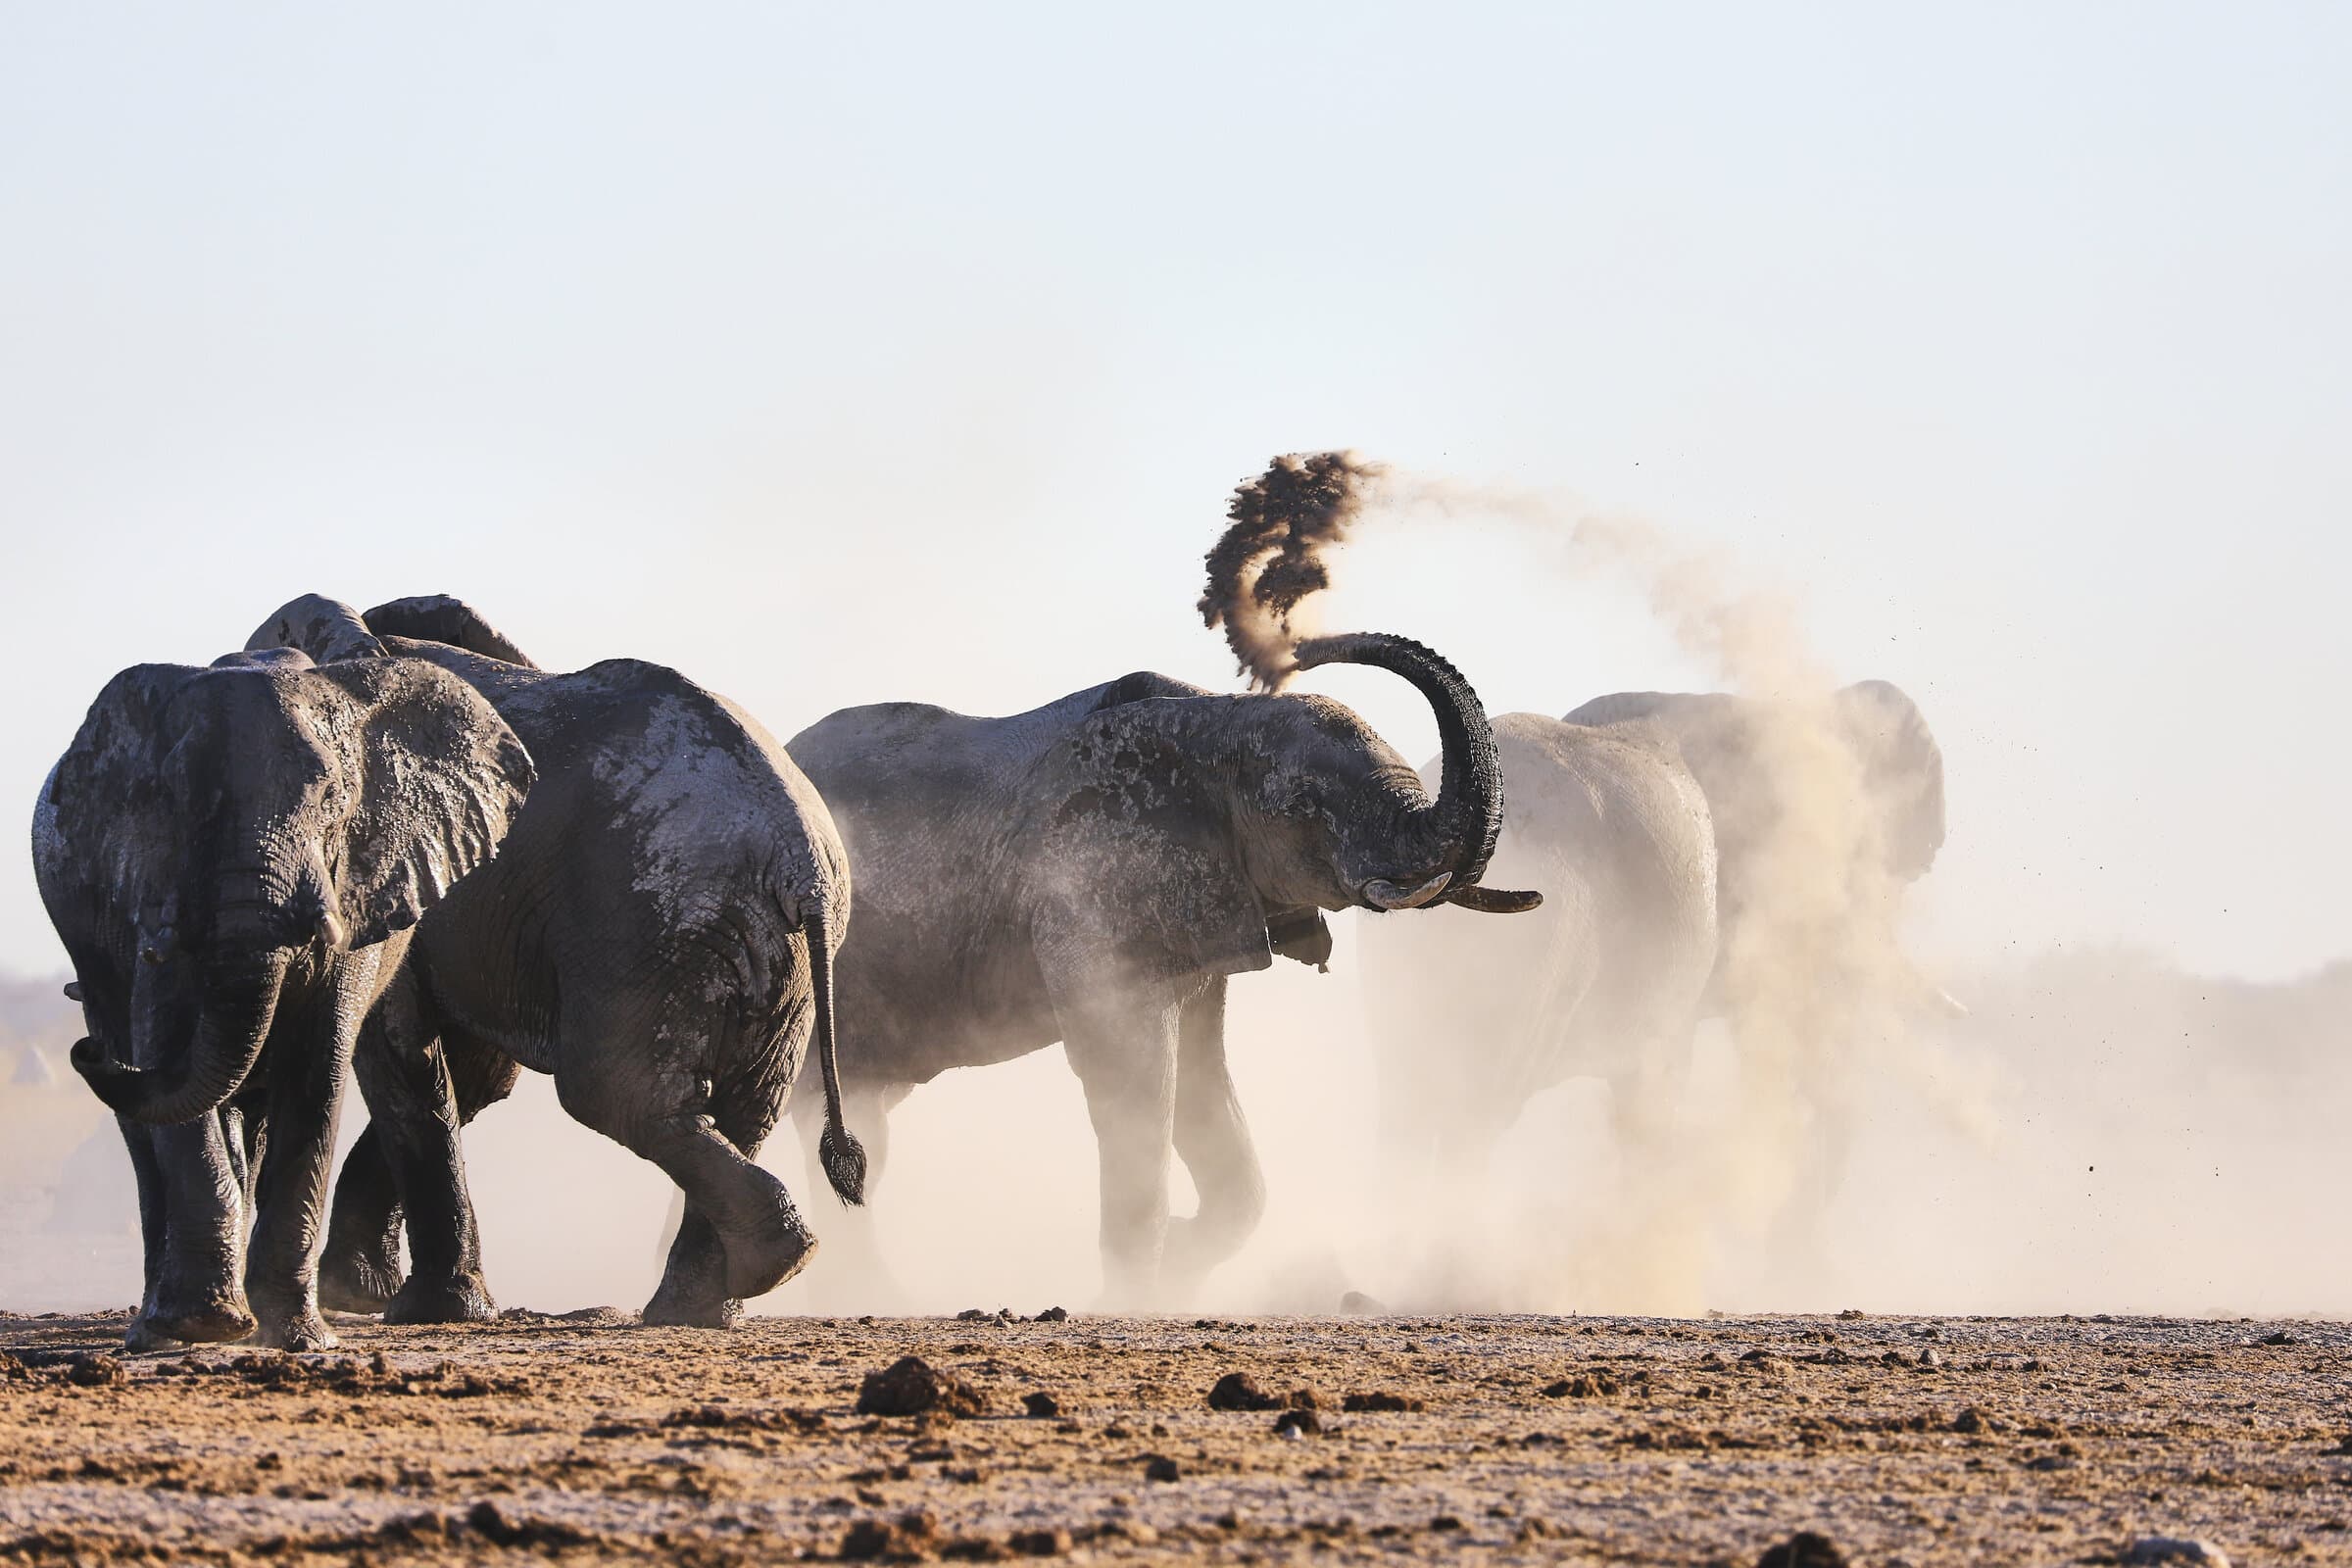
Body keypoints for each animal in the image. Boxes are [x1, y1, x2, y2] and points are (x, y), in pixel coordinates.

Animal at [33, 622, 535, 1348]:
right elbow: (173, 1069)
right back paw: (155, 1325)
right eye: (175, 803)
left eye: (331, 800)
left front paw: (297, 1338)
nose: (84, 1050)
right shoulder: (147, 881)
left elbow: (316, 1067)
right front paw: (202, 1327)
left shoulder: (356, 886)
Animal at [299, 595, 866, 1328]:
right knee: (742, 1108)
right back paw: (712, 1300)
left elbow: (405, 1057)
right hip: (763, 952)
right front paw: (364, 1296)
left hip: (646, 921)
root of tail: (801, 863)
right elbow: (469, 1080)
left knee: (612, 1092)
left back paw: (751, 1274)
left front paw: (403, 1306)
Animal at [782, 632, 1541, 1304]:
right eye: (1300, 808)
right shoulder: (1087, 888)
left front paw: (1176, 1261)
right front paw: (1127, 1301)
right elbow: (1130, 1071)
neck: (1216, 720)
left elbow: (1202, 1075)